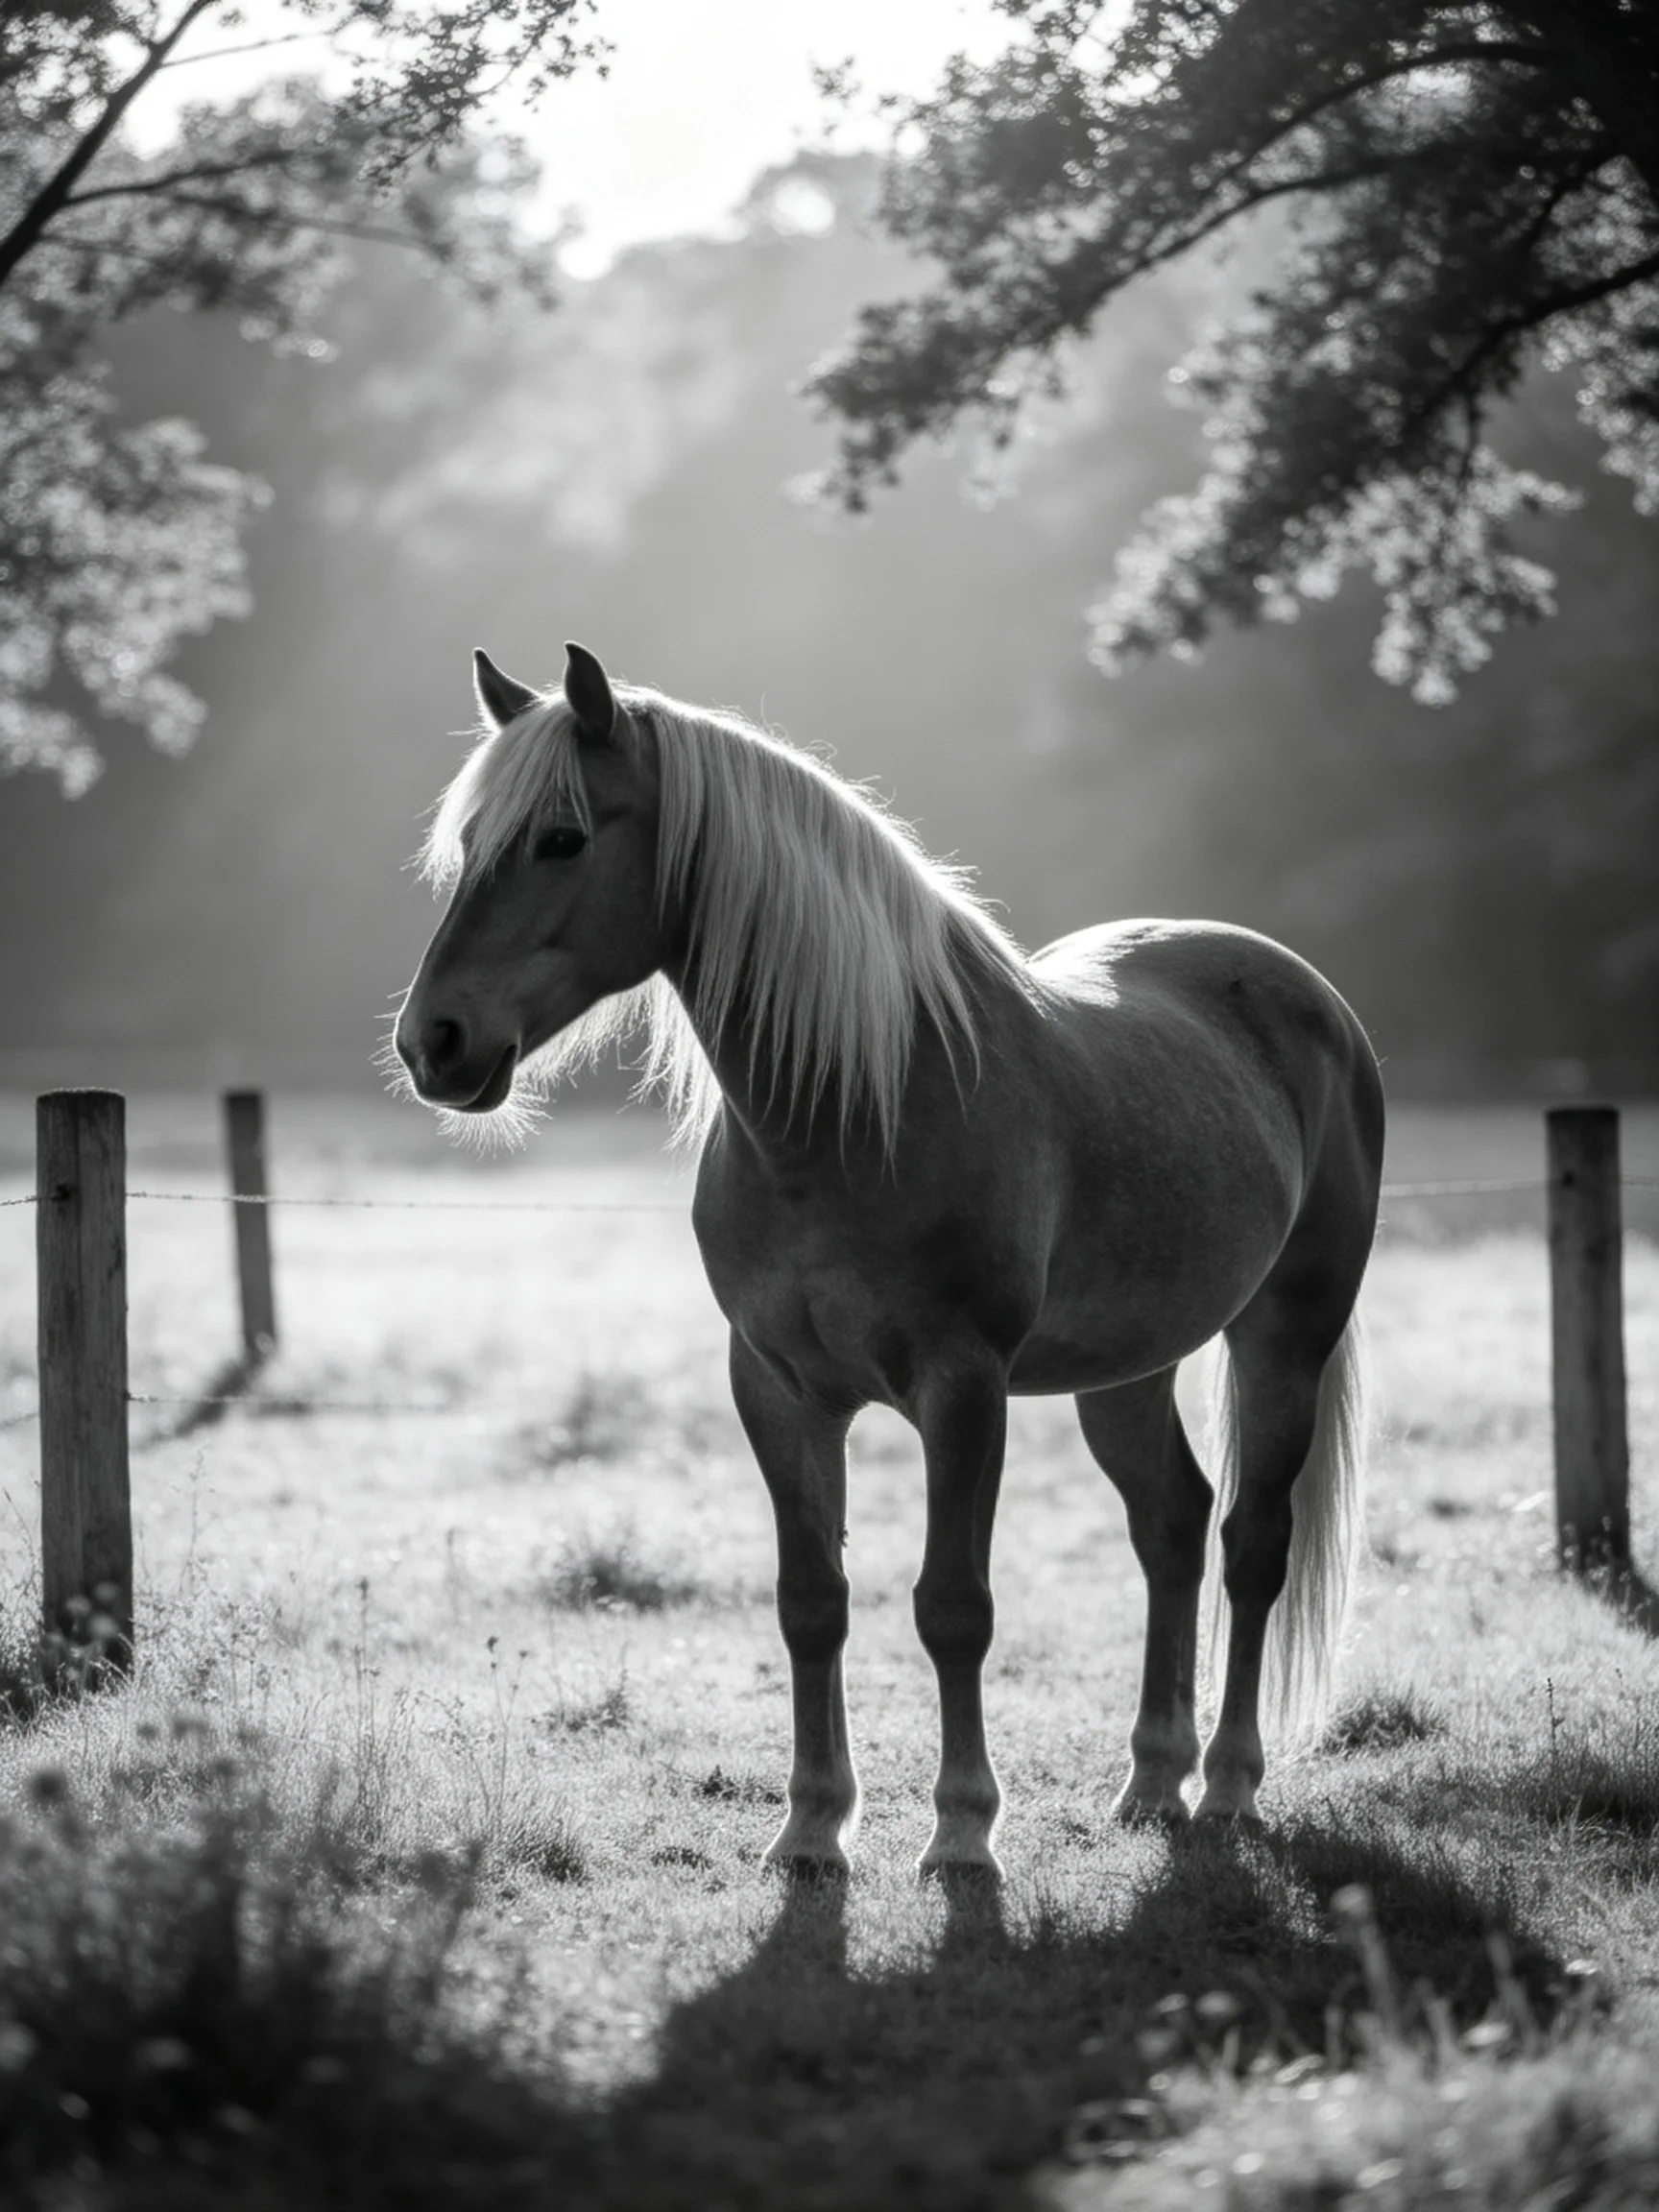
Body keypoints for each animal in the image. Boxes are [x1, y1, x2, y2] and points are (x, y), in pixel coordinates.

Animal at [394, 641, 1383, 1878]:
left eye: (563, 838)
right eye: (472, 843)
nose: (432, 1043)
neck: (860, 1109)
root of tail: (1304, 992)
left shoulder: (963, 1390)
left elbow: (953, 1606)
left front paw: (961, 1834)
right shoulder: (778, 1389)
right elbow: (811, 1600)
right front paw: (812, 1828)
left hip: (1284, 1333)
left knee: (1254, 1541)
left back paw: (1231, 1791)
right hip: (1127, 1368)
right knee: (1172, 1527)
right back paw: (1154, 1782)